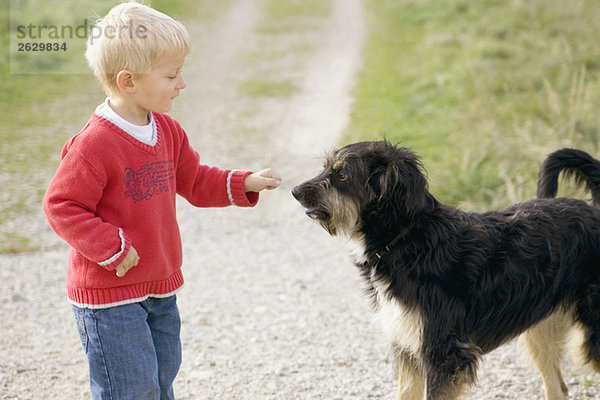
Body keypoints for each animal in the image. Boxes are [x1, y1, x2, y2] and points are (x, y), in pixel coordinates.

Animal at [292, 141, 600, 400]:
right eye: (326, 168)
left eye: (342, 174)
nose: (295, 191)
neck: (407, 238)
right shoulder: (408, 350)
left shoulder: (444, 355)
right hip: (540, 329)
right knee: (558, 388)